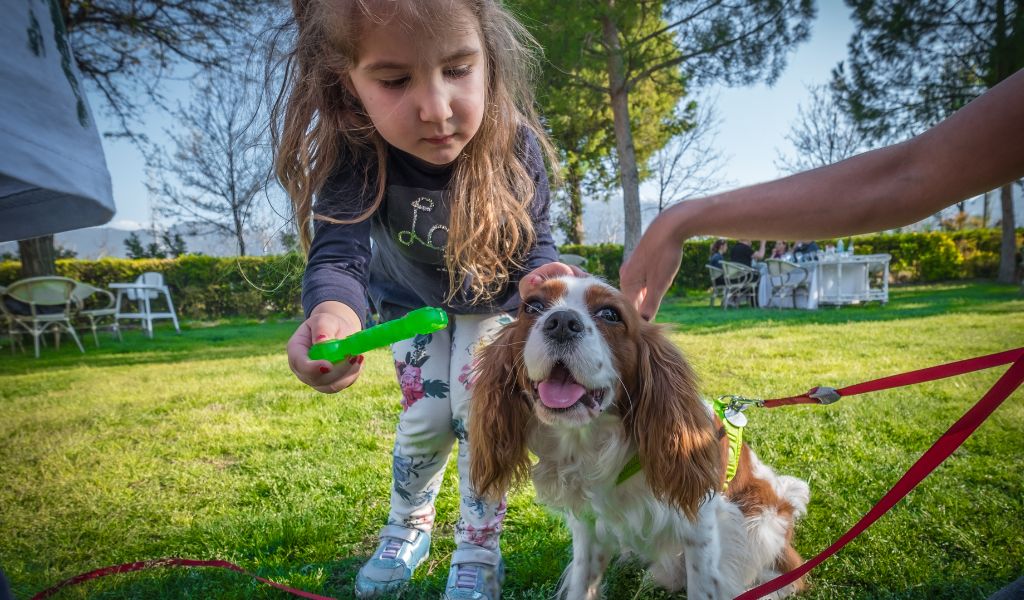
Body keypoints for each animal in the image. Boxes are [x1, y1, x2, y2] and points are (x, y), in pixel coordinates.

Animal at [468, 276, 811, 597]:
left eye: (610, 314)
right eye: (533, 307)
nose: (562, 322)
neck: (593, 442)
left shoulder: (701, 526)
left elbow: (704, 586)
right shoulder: (589, 527)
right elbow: (582, 582)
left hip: (758, 524)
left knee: (790, 576)